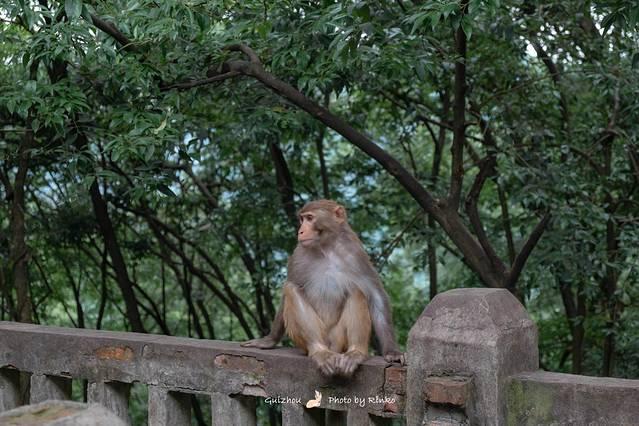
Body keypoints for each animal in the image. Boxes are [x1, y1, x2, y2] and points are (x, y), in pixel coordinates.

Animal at [242, 199, 402, 376]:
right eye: (302, 219)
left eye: (310, 218)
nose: (300, 231)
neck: (327, 248)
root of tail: (332, 348)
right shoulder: (298, 256)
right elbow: (290, 289)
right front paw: (268, 340)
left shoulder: (357, 254)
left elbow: (375, 294)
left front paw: (392, 351)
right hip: (309, 340)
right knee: (291, 289)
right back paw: (320, 351)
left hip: (339, 339)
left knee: (357, 291)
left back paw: (355, 353)